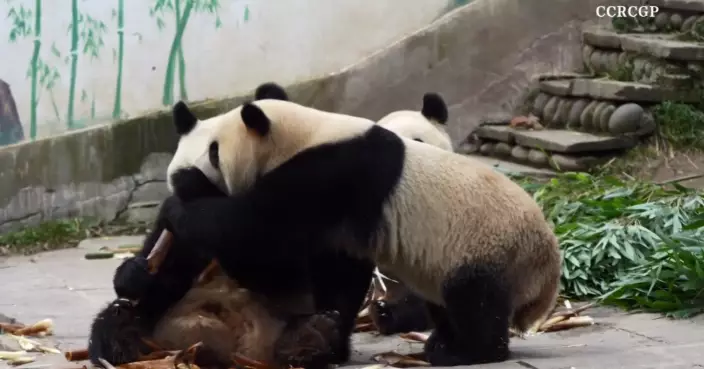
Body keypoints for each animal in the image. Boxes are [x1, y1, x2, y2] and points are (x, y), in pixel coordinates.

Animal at [86, 83, 350, 368]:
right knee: (115, 321)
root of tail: (238, 353)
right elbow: (167, 272)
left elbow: (277, 263)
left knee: (323, 325)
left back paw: (308, 340)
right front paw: (136, 272)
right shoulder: (174, 229)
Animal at [160, 95, 560, 366]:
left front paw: (182, 197)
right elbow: (334, 275)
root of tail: (548, 272)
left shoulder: (335, 171)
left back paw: (467, 351)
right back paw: (440, 342)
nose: (176, 172)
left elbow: (258, 232)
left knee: (475, 299)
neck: (303, 132)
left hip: (488, 246)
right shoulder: (341, 225)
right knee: (444, 301)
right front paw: (328, 340)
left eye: (214, 151)